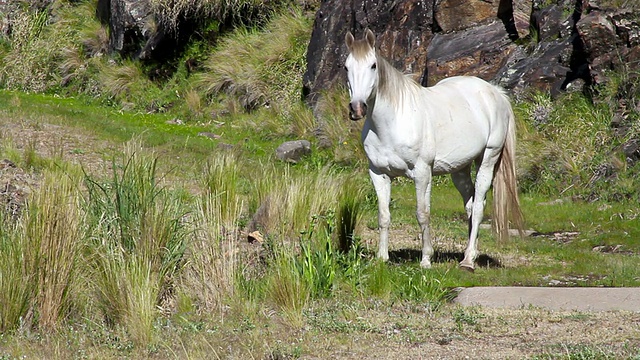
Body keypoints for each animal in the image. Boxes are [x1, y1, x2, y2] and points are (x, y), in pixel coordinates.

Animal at [342, 28, 524, 270]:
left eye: (372, 65)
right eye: (346, 67)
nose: (357, 108)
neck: (392, 122)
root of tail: (495, 92)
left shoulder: (421, 173)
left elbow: (423, 214)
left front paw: (426, 259)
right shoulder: (378, 174)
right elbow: (383, 215)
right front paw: (382, 258)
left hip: (488, 159)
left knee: (478, 208)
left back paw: (468, 261)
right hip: (460, 169)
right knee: (471, 205)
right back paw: (470, 252)